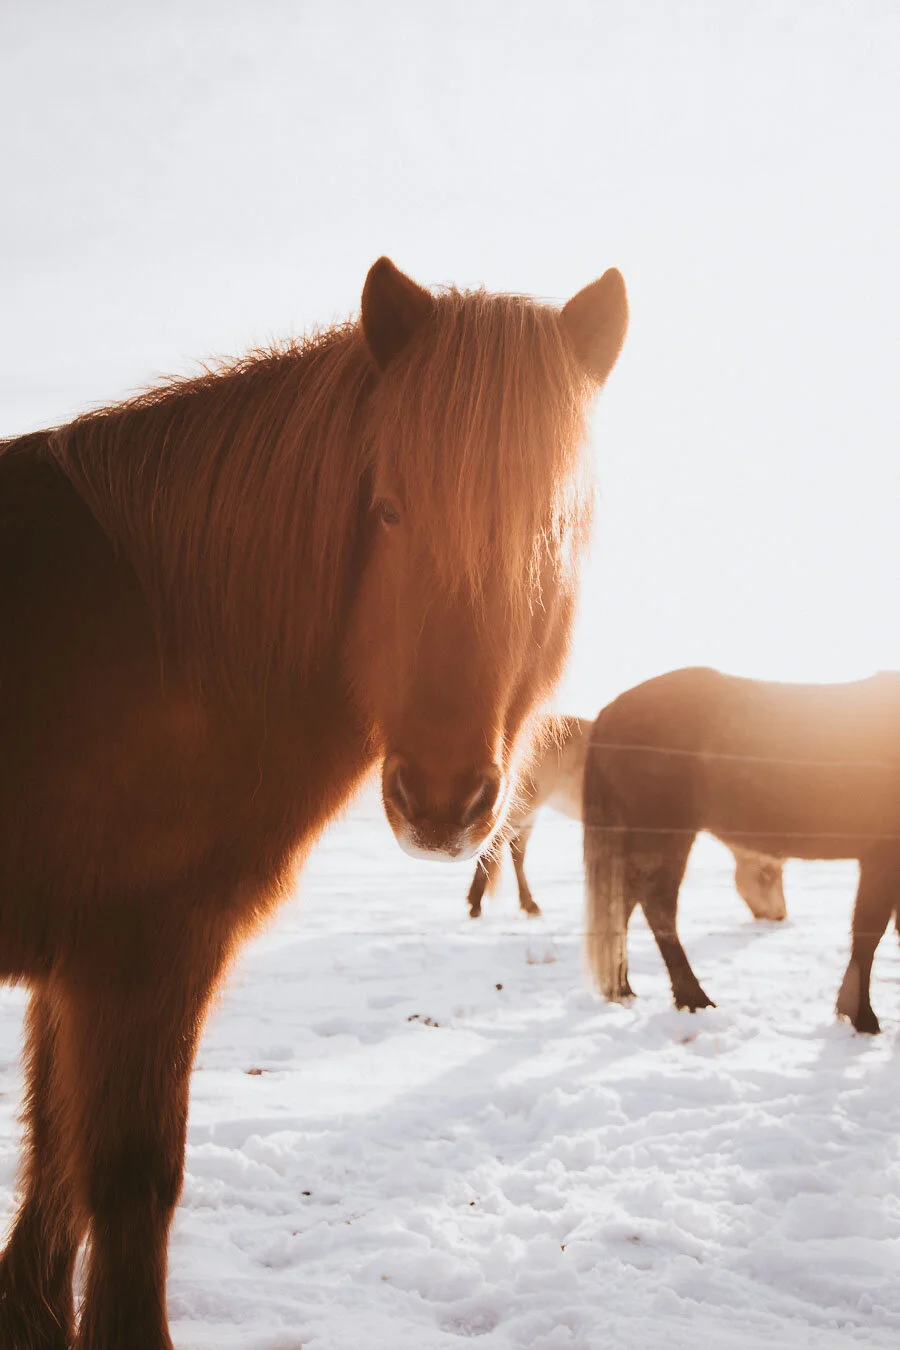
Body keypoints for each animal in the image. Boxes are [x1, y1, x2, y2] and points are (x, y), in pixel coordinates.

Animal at [0, 256, 628, 1349]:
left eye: (555, 527)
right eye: (388, 509)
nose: (441, 797)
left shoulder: (72, 976)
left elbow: (52, 1183)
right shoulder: (141, 958)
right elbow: (128, 1186)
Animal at [467, 713, 787, 922]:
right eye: (768, 876)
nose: (781, 915)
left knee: (515, 852)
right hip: (524, 806)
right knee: (497, 847)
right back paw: (478, 904)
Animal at [582, 666, 900, 1033]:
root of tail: (610, 712)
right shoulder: (881, 856)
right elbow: (869, 931)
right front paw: (860, 1016)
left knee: (625, 903)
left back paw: (622, 988)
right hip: (666, 835)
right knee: (657, 907)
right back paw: (692, 997)